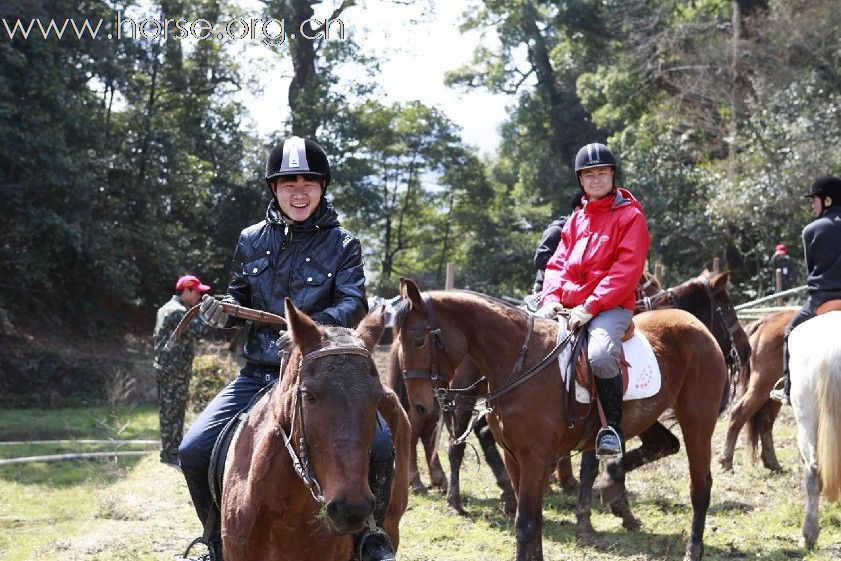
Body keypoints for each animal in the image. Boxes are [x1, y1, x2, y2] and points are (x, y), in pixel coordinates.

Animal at [398, 278, 724, 560]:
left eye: (418, 340)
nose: (420, 406)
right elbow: (533, 520)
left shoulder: (536, 457)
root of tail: (695, 326)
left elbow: (526, 523)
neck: (520, 363)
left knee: (700, 485)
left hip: (697, 422)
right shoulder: (515, 457)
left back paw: (692, 549)